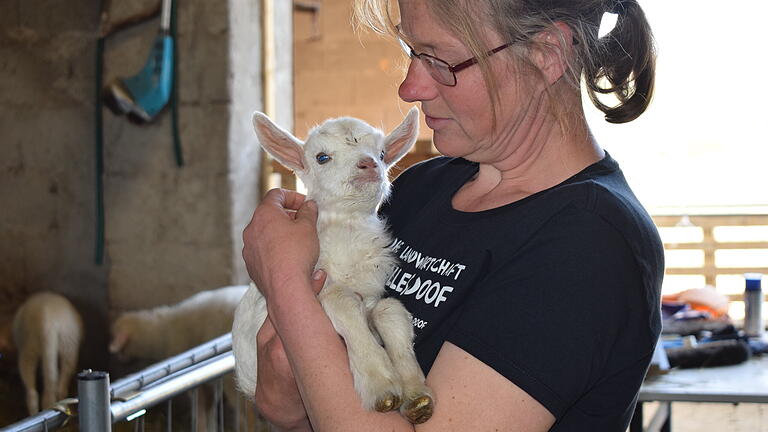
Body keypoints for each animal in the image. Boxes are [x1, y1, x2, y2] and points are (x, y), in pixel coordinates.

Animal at [231, 106, 436, 424]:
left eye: (382, 152)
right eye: (322, 157)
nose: (369, 164)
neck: (347, 230)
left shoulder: (372, 296)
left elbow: (390, 311)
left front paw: (415, 393)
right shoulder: (323, 286)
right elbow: (342, 302)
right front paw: (380, 383)